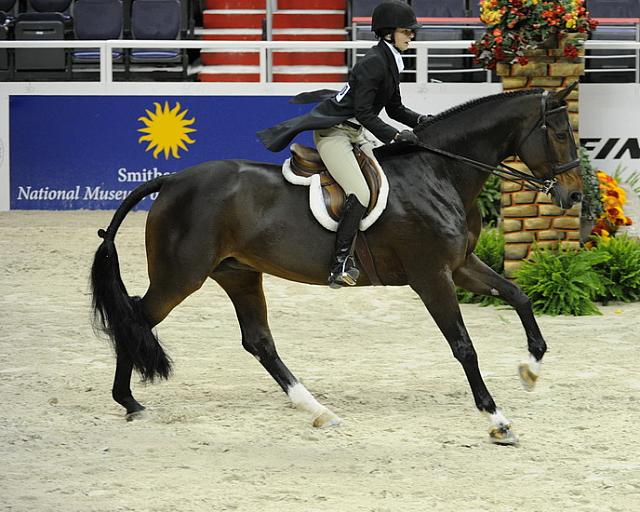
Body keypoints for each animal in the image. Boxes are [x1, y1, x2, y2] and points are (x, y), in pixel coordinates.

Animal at [91, 84, 584, 444]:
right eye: (561, 134)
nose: (575, 195)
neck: (440, 173)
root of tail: (172, 179)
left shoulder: (460, 266)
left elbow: (518, 295)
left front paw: (530, 370)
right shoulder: (431, 276)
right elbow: (464, 346)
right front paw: (496, 419)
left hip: (238, 273)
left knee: (259, 342)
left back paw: (319, 410)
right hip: (181, 276)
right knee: (136, 319)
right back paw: (128, 401)